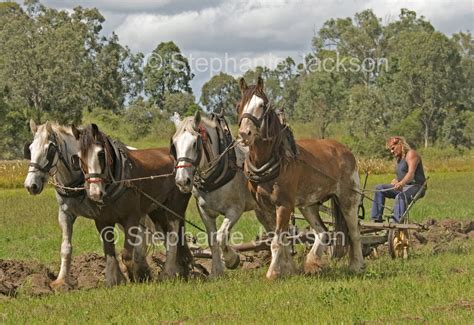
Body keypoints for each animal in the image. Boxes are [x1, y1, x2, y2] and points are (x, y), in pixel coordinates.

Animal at [239, 76, 364, 278]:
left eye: (261, 105)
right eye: (240, 104)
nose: (244, 133)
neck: (274, 159)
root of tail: (345, 150)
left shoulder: (284, 205)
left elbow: (277, 241)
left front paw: (272, 273)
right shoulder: (264, 208)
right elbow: (279, 239)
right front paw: (288, 270)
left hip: (349, 199)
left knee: (354, 232)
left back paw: (357, 265)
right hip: (309, 205)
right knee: (323, 232)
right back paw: (312, 263)